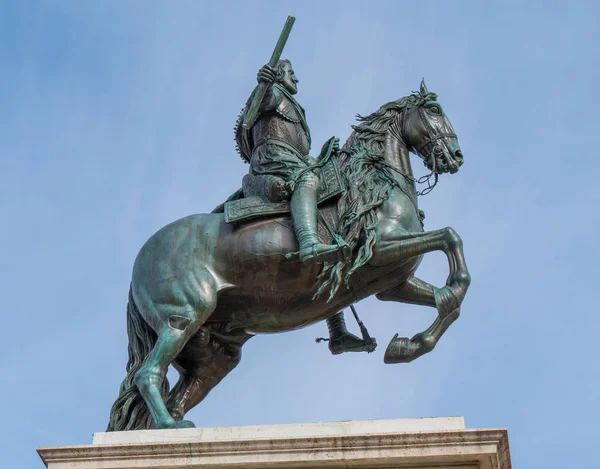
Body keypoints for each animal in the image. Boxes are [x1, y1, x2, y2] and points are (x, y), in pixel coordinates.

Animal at [110, 78, 472, 430]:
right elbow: (450, 238)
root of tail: (141, 260)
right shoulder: (379, 250)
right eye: (435, 109)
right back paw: (168, 425)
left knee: (177, 393)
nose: (456, 156)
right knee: (148, 373)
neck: (373, 181)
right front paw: (442, 301)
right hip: (183, 317)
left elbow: (446, 302)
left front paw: (408, 345)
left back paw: (173, 423)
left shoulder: (392, 281)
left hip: (214, 352)